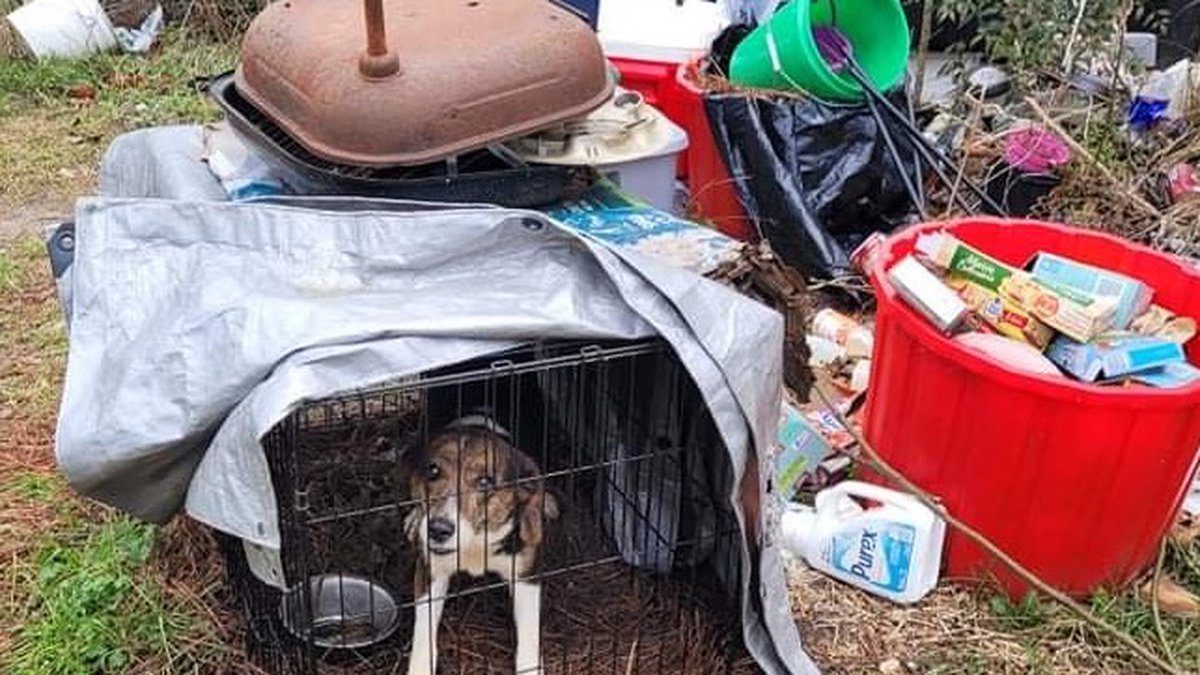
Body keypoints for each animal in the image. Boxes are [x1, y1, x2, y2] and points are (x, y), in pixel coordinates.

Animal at [400, 417, 554, 667]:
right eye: (433, 471)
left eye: (485, 482)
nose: (438, 530)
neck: (474, 541)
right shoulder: (430, 572)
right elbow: (423, 637)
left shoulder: (526, 575)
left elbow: (529, 641)